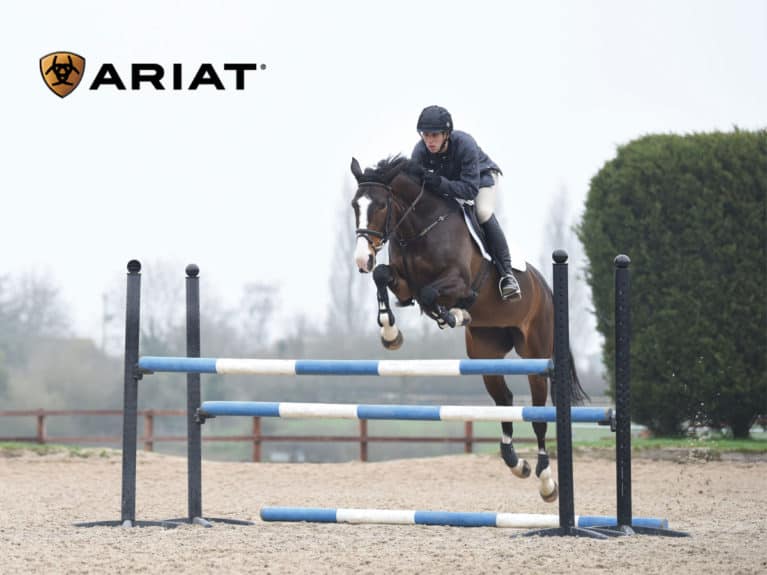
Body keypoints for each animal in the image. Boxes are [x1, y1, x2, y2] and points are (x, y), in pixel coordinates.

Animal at [352, 155, 584, 502]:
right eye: (355, 205)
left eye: (380, 205)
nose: (361, 259)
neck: (419, 228)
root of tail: (546, 287)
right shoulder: (403, 284)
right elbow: (384, 277)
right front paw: (391, 334)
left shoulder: (459, 283)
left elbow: (430, 294)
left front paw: (453, 315)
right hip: (486, 355)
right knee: (504, 400)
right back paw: (515, 462)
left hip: (537, 356)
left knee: (538, 415)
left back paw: (546, 480)